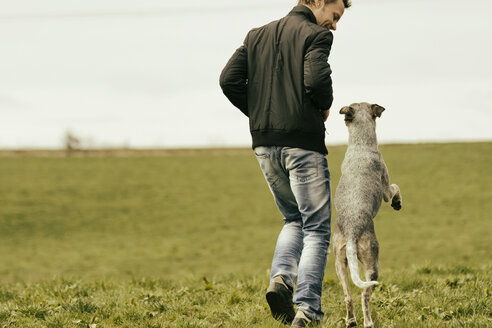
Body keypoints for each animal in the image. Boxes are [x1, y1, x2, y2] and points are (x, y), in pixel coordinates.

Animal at [332, 102, 402, 328]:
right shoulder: (386, 188)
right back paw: (368, 322)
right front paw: (397, 203)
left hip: (340, 263)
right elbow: (395, 188)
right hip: (372, 264)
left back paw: (351, 321)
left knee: (348, 296)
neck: (360, 145)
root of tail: (353, 233)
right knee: (364, 295)